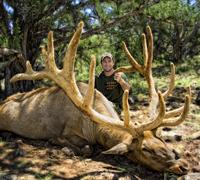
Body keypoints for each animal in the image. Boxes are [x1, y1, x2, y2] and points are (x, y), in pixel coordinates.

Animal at [0, 21, 191, 174]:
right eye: (146, 149)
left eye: (161, 141)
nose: (183, 166)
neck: (93, 128)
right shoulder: (68, 131)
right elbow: (86, 148)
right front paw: (62, 146)